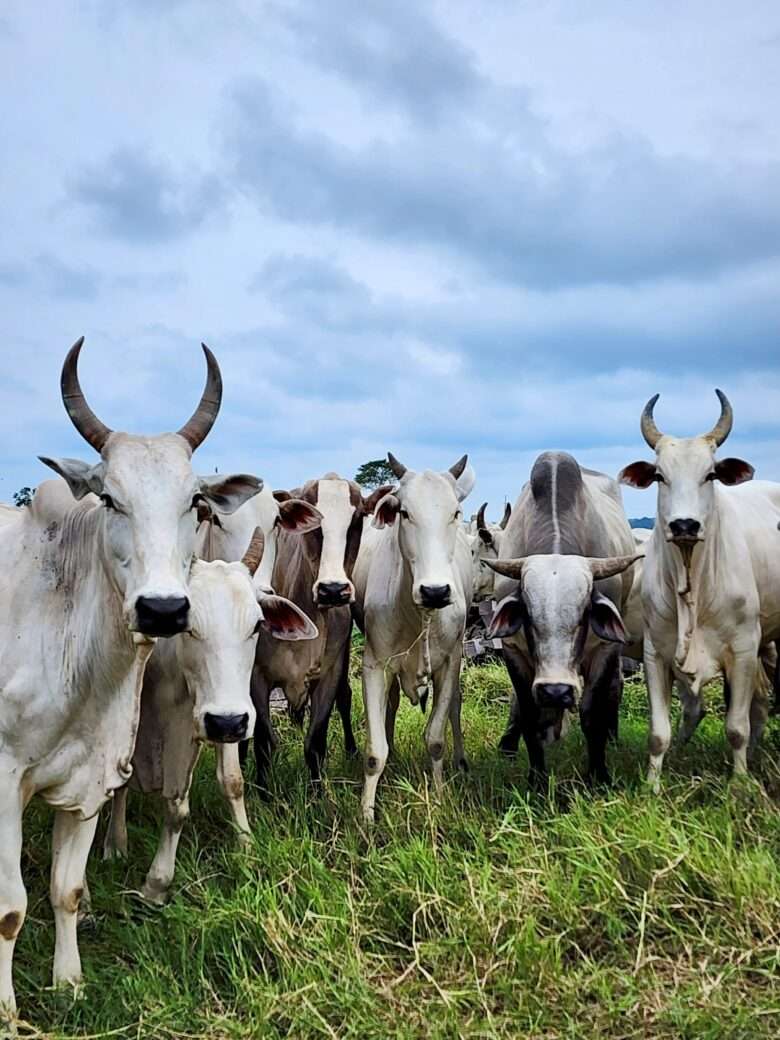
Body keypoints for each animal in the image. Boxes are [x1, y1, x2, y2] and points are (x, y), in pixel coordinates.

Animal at [102, 528, 318, 902]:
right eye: (187, 625)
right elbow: (140, 789)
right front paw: (146, 874)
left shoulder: (223, 711)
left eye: (257, 625)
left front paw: (246, 846)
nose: (227, 722)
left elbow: (228, 783)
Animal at [353, 451, 476, 823]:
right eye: (404, 512)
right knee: (391, 705)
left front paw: (439, 797)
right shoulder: (374, 666)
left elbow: (435, 738)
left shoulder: (450, 663)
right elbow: (375, 751)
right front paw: (366, 815)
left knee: (454, 707)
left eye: (455, 513)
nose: (435, 591)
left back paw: (461, 761)